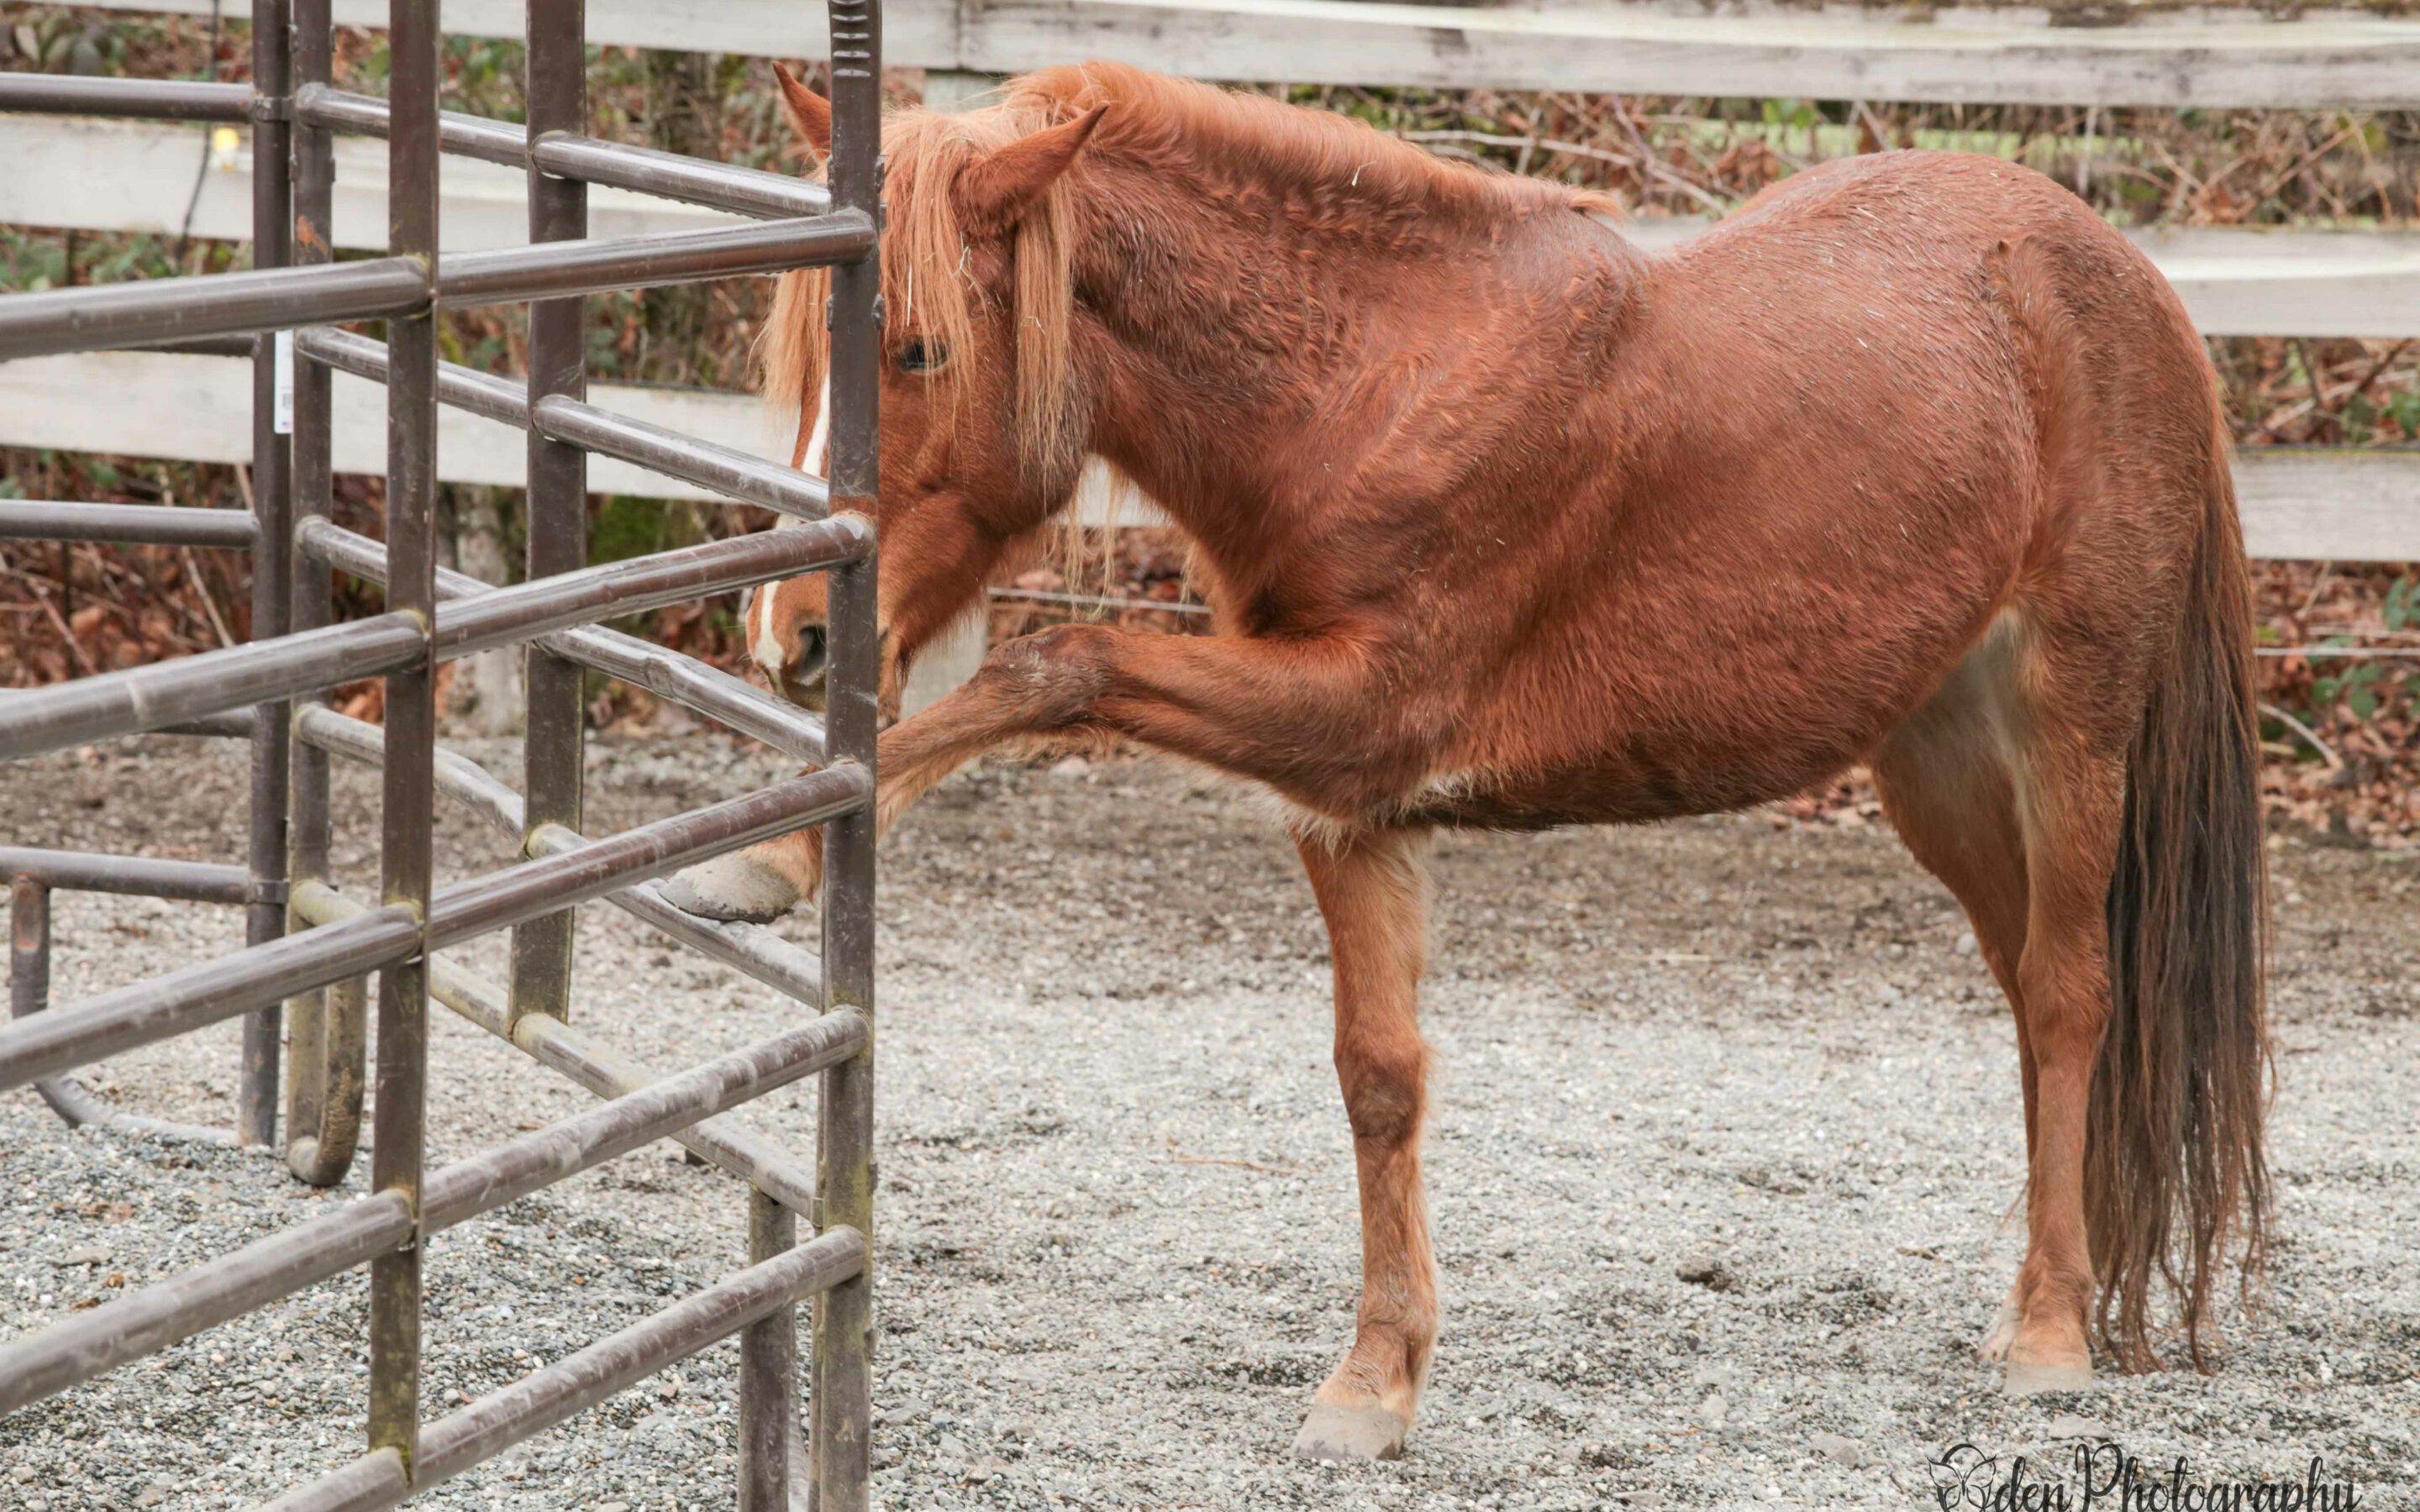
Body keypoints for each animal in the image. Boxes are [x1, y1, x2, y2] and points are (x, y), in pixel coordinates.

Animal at [663, 65, 2265, 1461]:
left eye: (918, 351)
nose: (792, 633)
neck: (1374, 383)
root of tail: (2128, 285)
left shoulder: (1362, 718)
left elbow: (1054, 667)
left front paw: (770, 855)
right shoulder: (1345, 797)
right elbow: (1379, 1080)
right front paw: (1375, 1386)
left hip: (2070, 729)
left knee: (2072, 996)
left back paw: (2049, 1338)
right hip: (1939, 762)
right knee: (2033, 1002)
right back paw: (2058, 1293)